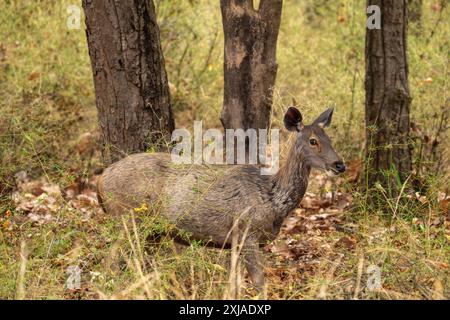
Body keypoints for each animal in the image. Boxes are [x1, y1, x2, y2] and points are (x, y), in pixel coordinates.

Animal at [97, 107, 344, 290]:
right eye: (313, 141)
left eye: (329, 138)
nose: (339, 164)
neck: (273, 200)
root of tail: (100, 181)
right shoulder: (246, 233)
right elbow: (259, 283)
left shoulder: (234, 243)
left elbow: (234, 283)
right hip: (127, 218)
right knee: (112, 260)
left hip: (151, 230)